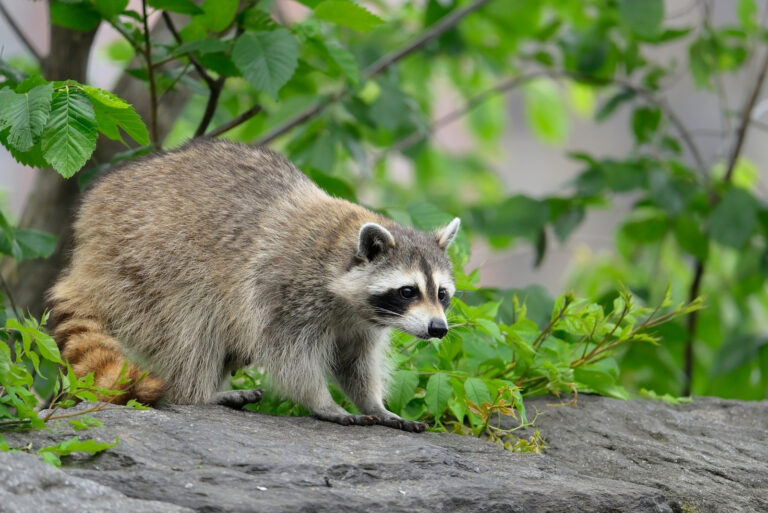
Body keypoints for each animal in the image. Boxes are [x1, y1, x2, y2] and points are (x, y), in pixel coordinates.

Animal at [48, 139, 459, 432]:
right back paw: (196, 394)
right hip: (145, 265)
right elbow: (290, 357)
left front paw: (375, 404)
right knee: (188, 328)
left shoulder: (359, 323)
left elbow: (355, 363)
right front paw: (323, 403)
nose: (438, 329)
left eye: (442, 294)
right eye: (408, 291)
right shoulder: (282, 289)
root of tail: (88, 242)